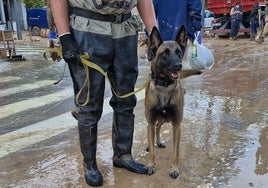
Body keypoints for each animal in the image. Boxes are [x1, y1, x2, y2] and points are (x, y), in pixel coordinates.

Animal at [144, 25, 201, 178]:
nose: (178, 65)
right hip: (157, 120)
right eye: (165, 53)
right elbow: (152, 150)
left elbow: (176, 152)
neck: (164, 87)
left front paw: (174, 168)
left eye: (179, 52)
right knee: (155, 129)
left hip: (165, 118)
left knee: (159, 127)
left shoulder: (176, 125)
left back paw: (158, 141)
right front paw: (150, 164)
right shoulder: (150, 122)